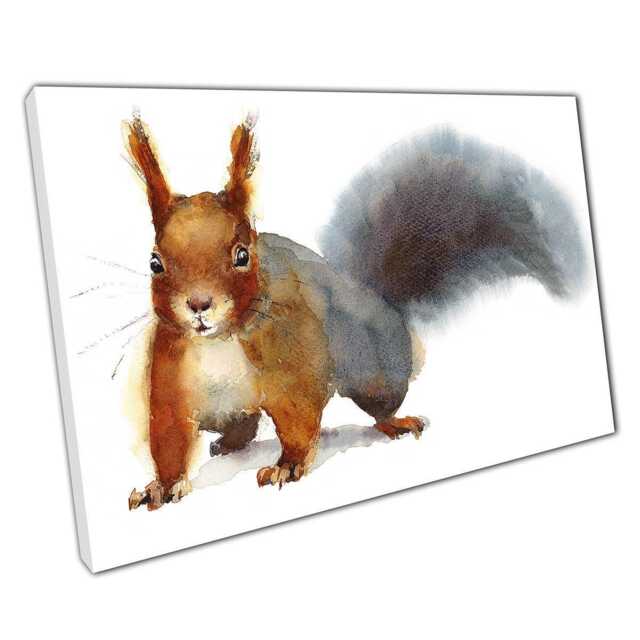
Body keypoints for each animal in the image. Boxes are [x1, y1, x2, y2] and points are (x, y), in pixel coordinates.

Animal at [125, 113, 585, 510]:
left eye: (242, 255)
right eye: (154, 262)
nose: (199, 305)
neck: (219, 340)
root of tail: (377, 301)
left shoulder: (294, 363)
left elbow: (298, 419)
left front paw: (287, 466)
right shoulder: (170, 377)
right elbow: (168, 435)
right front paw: (160, 487)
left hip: (376, 373)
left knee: (382, 404)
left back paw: (395, 423)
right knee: (244, 425)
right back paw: (230, 443)